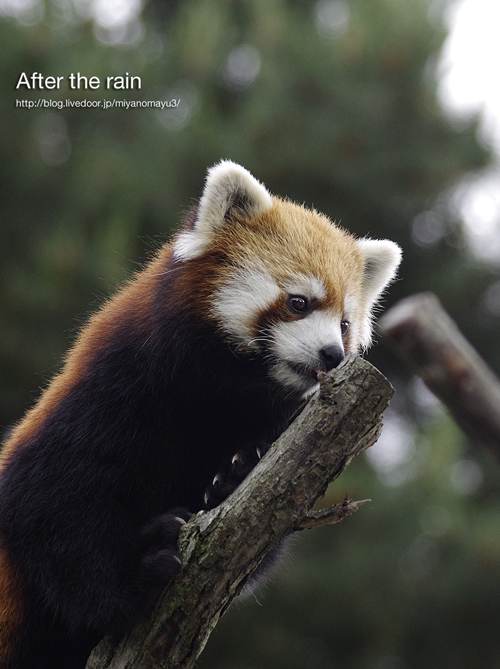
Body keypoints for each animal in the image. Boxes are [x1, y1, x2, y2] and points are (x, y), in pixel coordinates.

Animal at [0, 163, 400, 668]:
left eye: (346, 325)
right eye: (299, 302)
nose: (332, 354)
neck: (223, 390)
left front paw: (237, 472)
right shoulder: (112, 388)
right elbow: (53, 503)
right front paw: (130, 588)